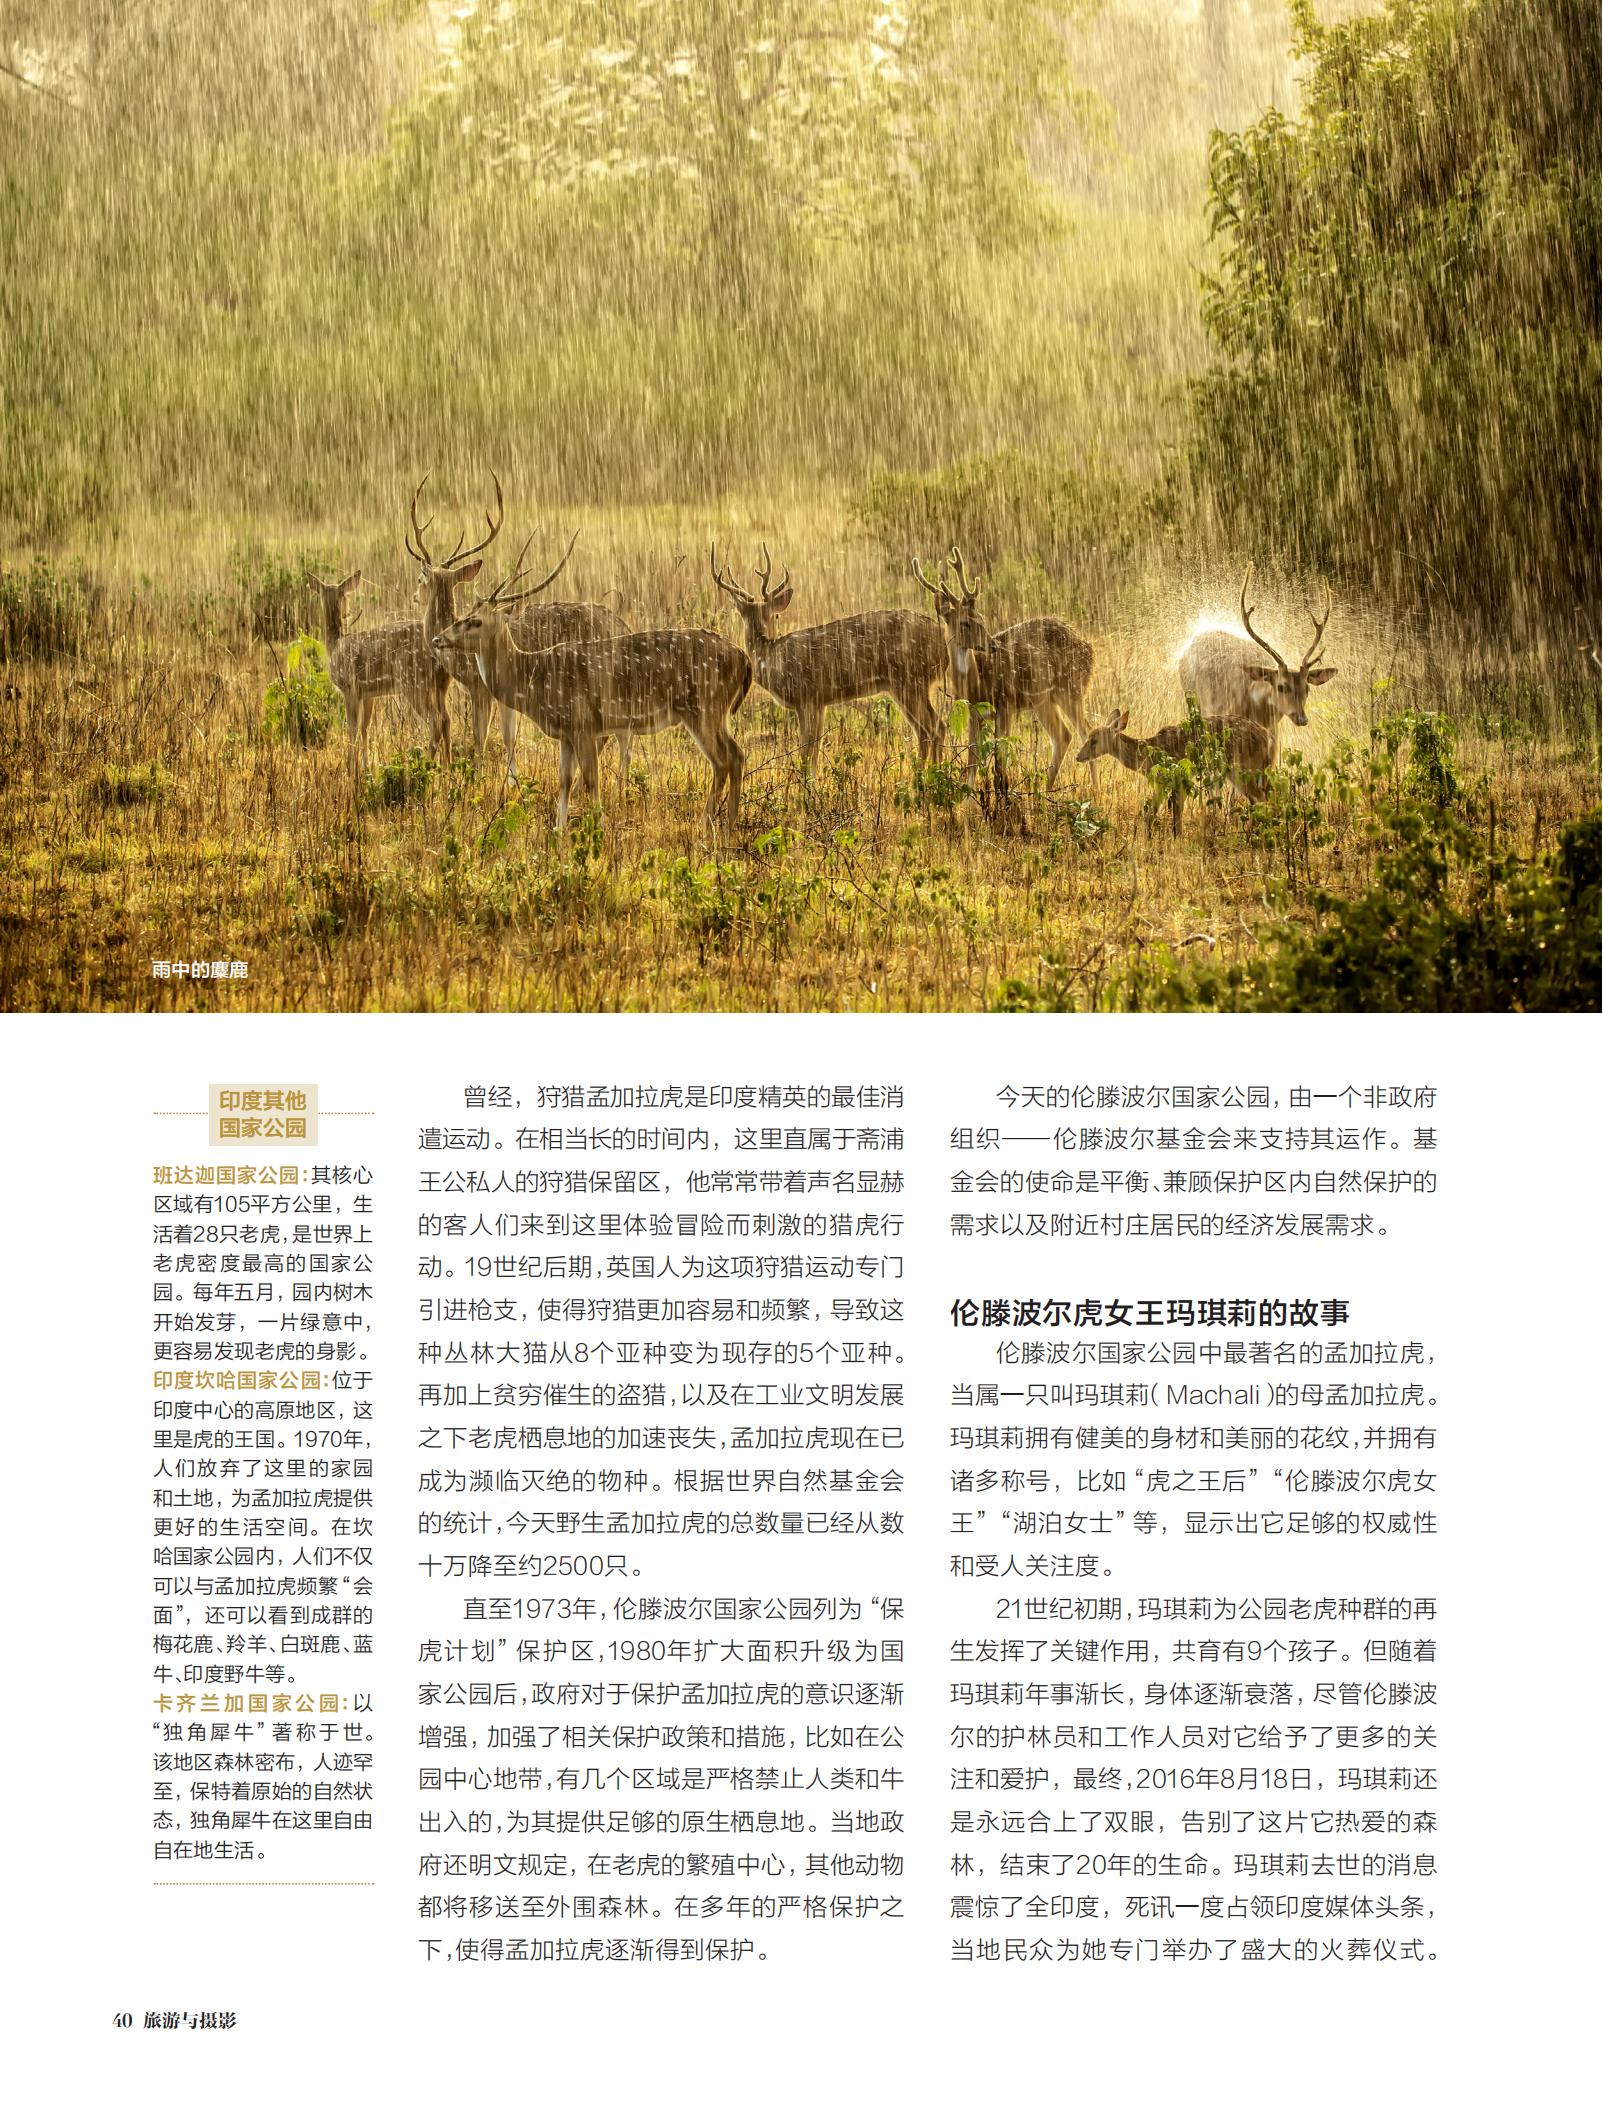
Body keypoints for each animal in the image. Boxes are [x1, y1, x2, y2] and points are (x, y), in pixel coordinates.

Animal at [430, 565, 752, 833]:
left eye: (475, 621)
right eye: (462, 614)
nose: (437, 638)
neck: (535, 681)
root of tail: (743, 659)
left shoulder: (583, 723)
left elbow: (590, 779)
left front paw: (599, 825)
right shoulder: (566, 732)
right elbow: (565, 780)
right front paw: (559, 829)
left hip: (703, 707)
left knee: (723, 760)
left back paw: (707, 822)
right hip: (714, 712)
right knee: (737, 754)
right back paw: (731, 821)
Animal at [708, 544, 947, 771]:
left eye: (775, 616)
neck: (772, 657)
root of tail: (942, 642)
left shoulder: (806, 696)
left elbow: (806, 751)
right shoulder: (820, 701)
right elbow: (814, 751)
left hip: (910, 679)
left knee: (934, 727)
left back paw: (929, 777)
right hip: (908, 684)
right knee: (930, 729)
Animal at [913, 546, 1093, 794]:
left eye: (981, 617)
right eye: (964, 622)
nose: (993, 645)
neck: (977, 685)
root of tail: (1089, 649)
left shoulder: (1005, 704)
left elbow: (999, 764)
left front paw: (1003, 797)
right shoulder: (974, 714)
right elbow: (972, 762)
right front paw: (969, 800)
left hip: (1071, 688)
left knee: (1088, 731)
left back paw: (1093, 789)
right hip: (1044, 700)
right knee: (1063, 736)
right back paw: (1045, 790)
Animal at [1076, 706, 1274, 832]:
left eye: (1094, 740)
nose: (1078, 757)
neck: (1149, 757)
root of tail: (1268, 738)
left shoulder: (1178, 777)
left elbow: (1176, 812)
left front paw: (1176, 838)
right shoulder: (1161, 783)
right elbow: (1152, 813)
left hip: (1242, 769)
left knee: (1259, 798)